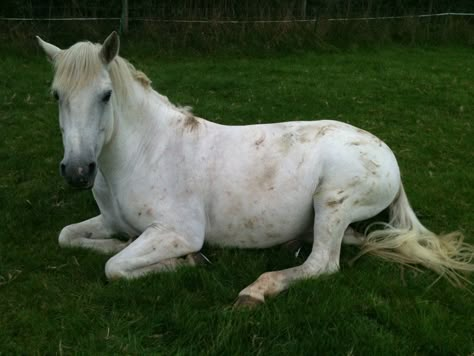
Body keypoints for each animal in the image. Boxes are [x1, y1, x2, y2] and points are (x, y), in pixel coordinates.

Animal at [38, 32, 474, 306]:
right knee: (356, 241)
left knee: (322, 264)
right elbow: (68, 237)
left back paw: (256, 291)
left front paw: (185, 263)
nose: (77, 171)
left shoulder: (178, 233)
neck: (145, 151)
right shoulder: (111, 221)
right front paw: (117, 244)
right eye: (56, 95)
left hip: (332, 202)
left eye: (106, 95)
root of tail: (389, 156)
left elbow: (115, 268)